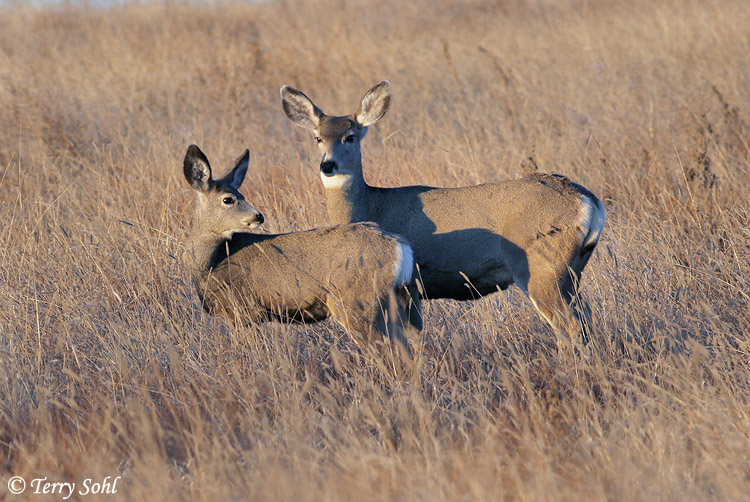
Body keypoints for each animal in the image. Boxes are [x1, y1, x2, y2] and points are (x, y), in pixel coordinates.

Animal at [181, 144, 421, 355]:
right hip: (403, 301)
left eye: (240, 196)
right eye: (228, 199)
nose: (258, 216)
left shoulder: (244, 309)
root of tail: (400, 248)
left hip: (357, 303)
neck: (211, 262)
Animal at [280, 81, 606, 353]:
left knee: (569, 326)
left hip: (542, 267)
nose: (328, 165)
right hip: (572, 270)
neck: (370, 206)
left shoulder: (409, 284)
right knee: (586, 318)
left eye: (350, 137)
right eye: (317, 138)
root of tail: (588, 201)